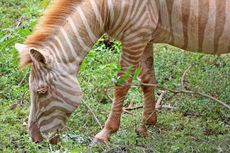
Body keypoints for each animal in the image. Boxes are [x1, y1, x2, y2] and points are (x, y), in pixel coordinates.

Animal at [15, 0, 229, 143]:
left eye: (41, 92)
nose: (34, 140)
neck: (105, 8)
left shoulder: (135, 36)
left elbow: (121, 86)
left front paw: (106, 133)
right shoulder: (145, 36)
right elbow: (147, 80)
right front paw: (147, 124)